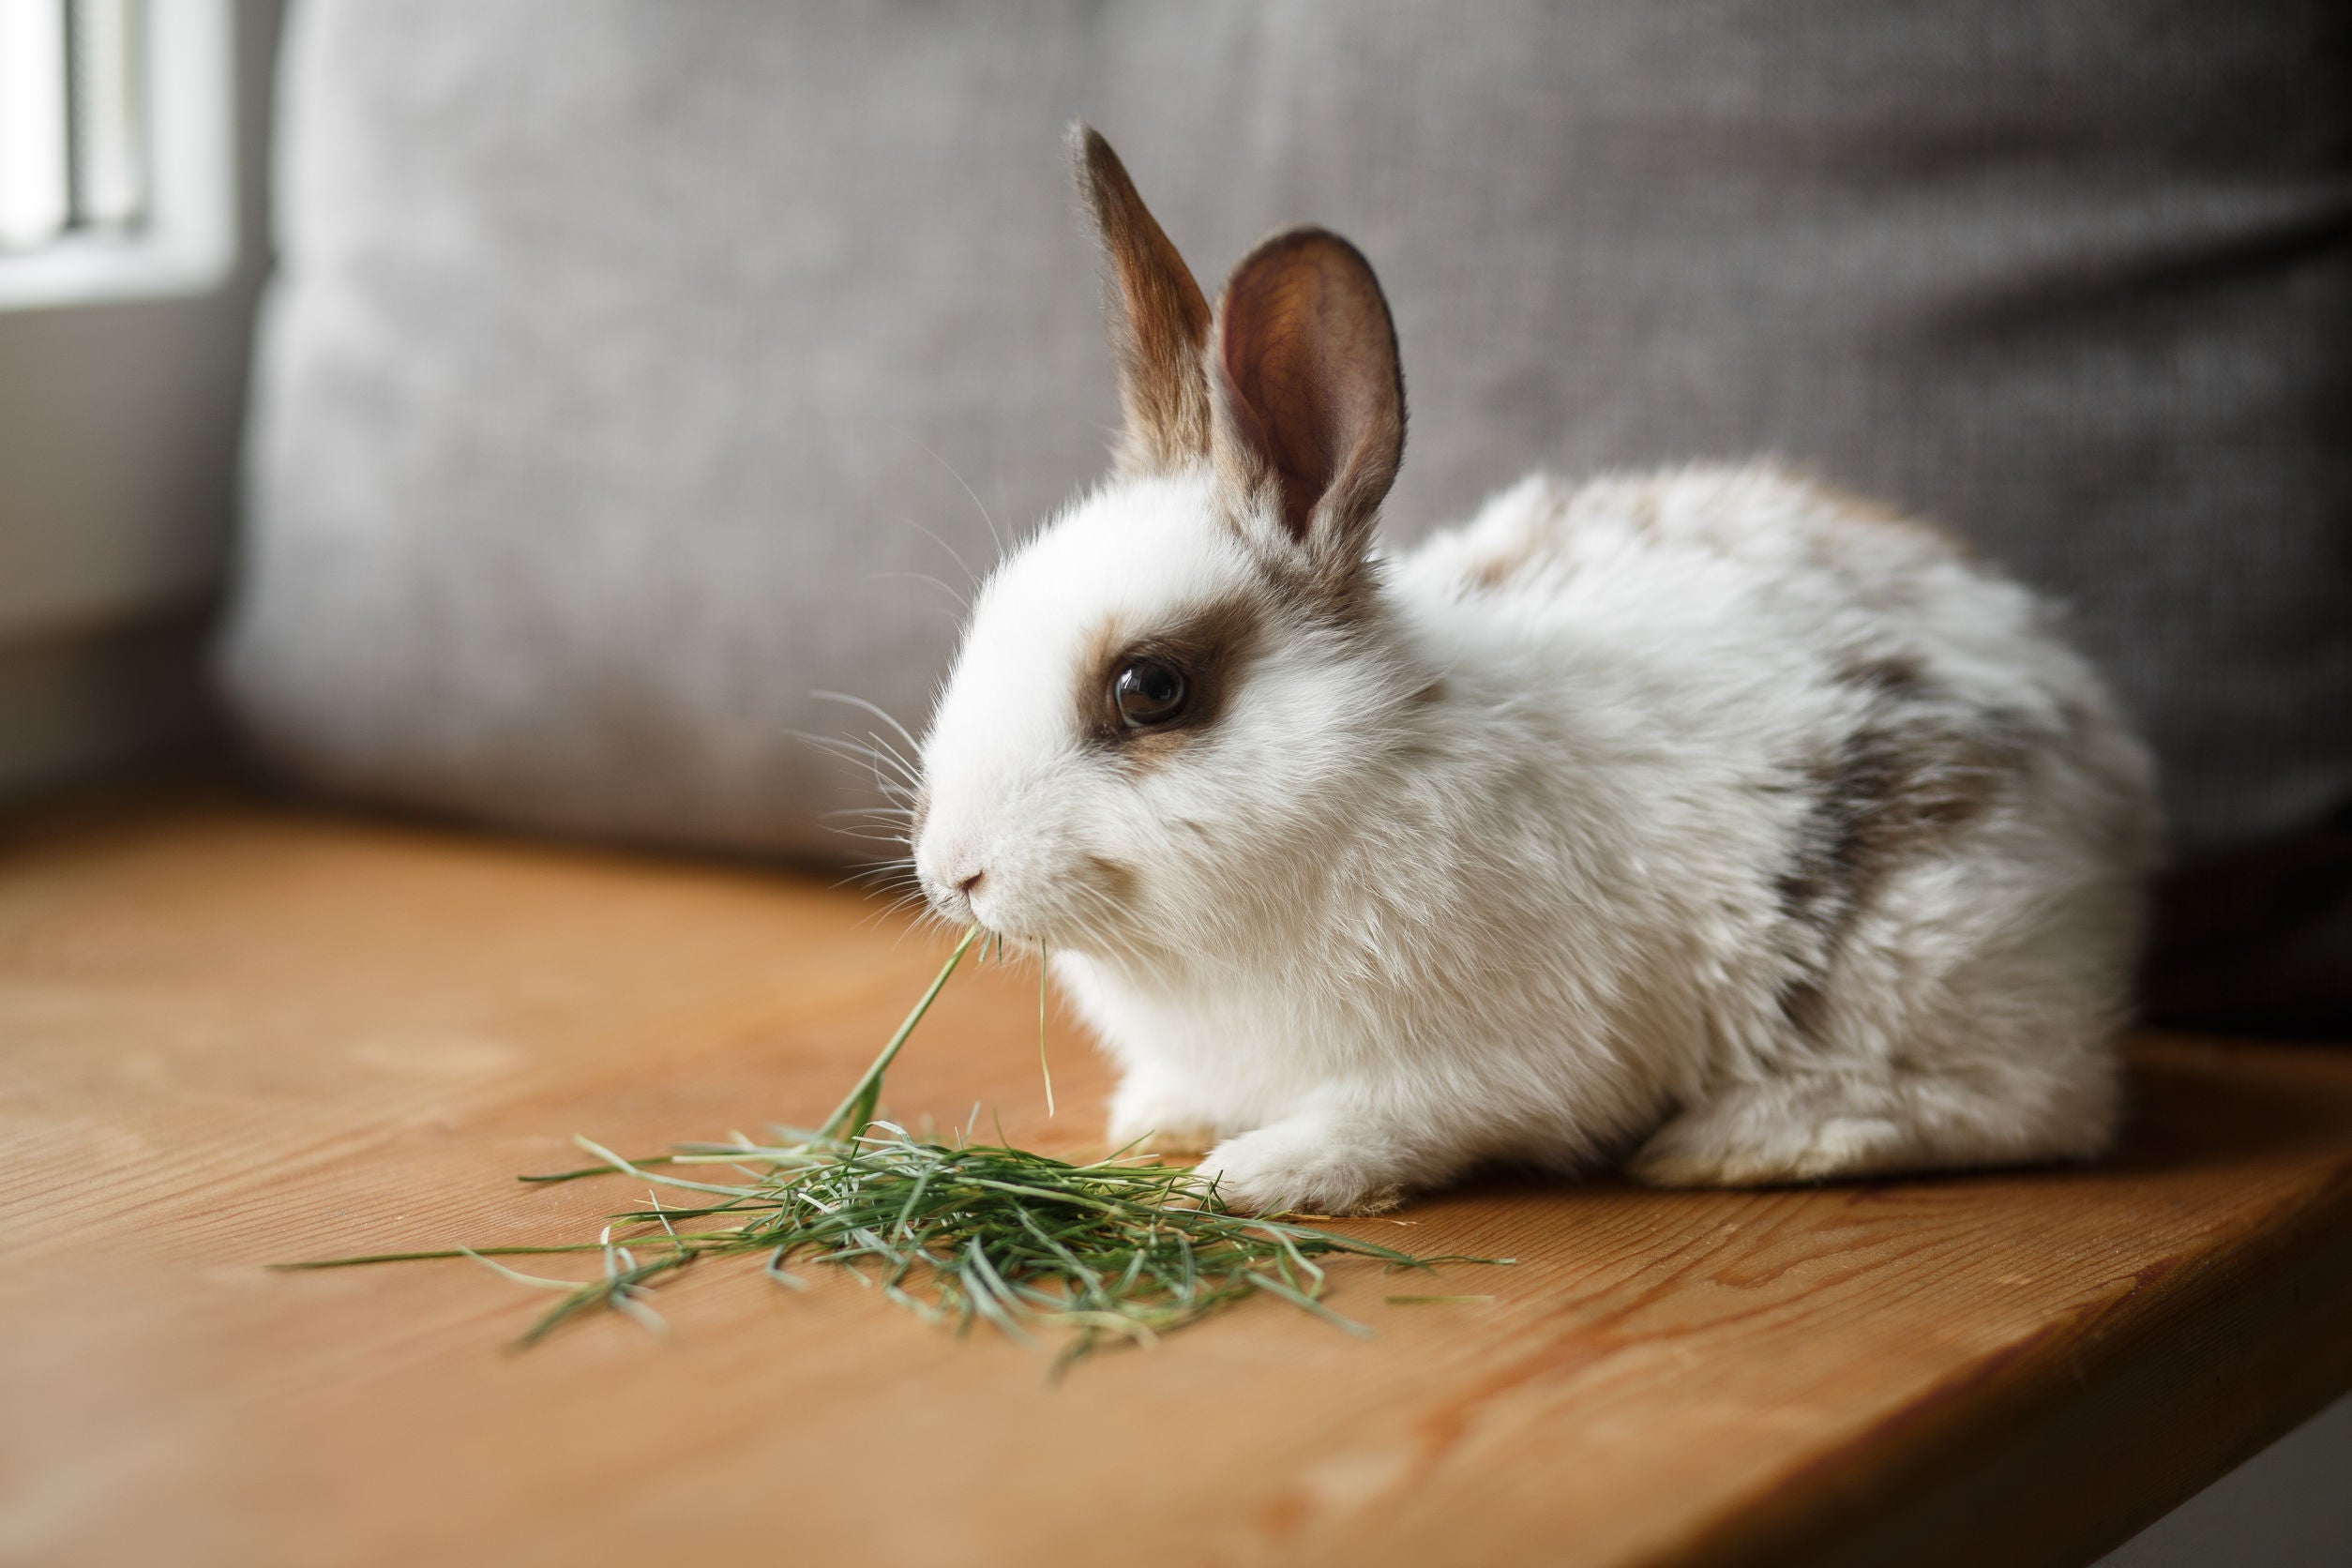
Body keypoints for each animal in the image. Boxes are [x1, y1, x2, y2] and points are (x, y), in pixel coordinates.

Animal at [903, 128, 2164, 1222]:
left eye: (1151, 689)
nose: (951, 872)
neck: (1362, 774)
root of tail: (2098, 737)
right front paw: (1157, 1121)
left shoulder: (1486, 1065)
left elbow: (1386, 1124)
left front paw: (1254, 1175)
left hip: (1921, 949)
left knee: (2035, 1105)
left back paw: (1739, 1141)